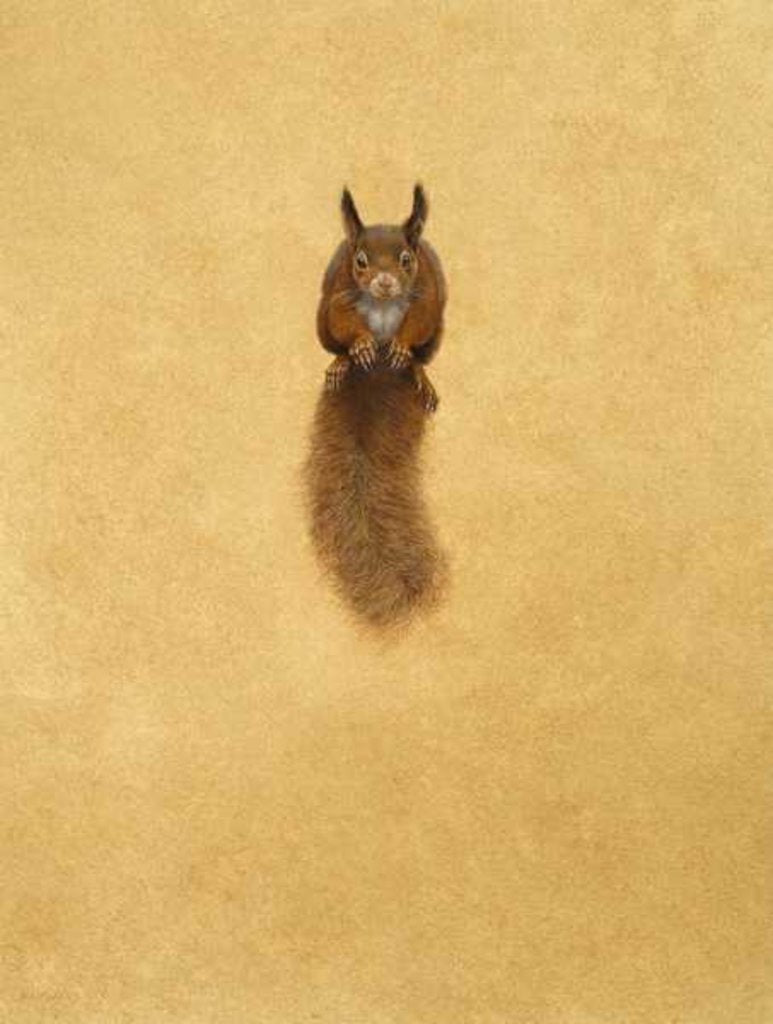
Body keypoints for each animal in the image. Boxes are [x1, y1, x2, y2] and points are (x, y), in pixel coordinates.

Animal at [303, 183, 448, 632]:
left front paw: (401, 346)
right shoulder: (339, 296)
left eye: (406, 260)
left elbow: (417, 319)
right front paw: (361, 343)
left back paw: (416, 371)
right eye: (360, 261)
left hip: (437, 335)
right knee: (336, 343)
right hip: (320, 320)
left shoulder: (427, 295)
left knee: (421, 354)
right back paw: (343, 362)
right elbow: (345, 321)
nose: (384, 284)